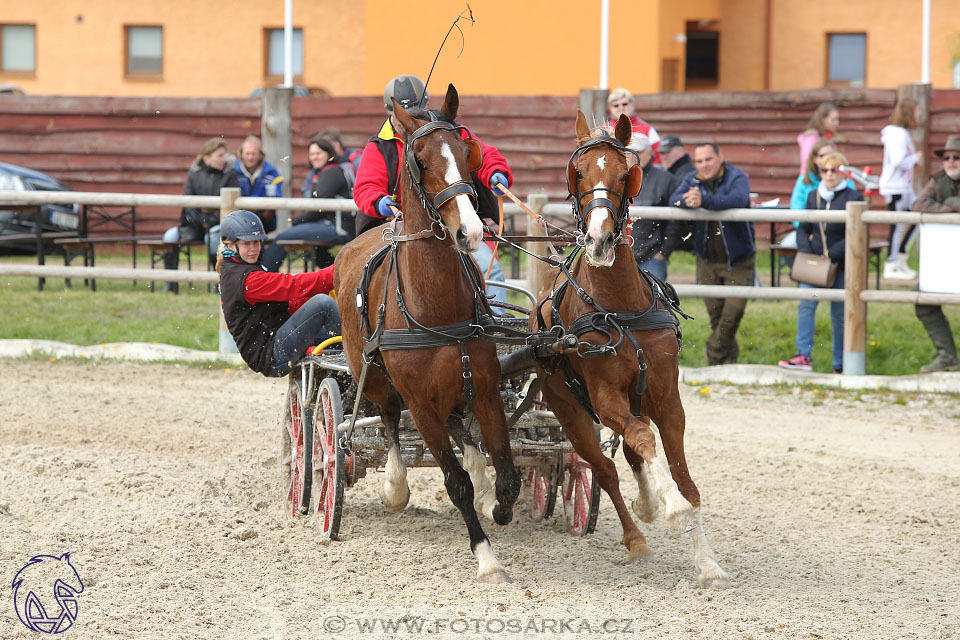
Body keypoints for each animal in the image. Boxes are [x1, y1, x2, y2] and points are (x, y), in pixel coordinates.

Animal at [336, 82, 520, 584]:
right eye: (419, 158)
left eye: (466, 149)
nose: (470, 231)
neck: (435, 307)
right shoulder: (420, 404)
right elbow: (453, 482)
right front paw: (486, 556)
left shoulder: (486, 390)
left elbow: (509, 476)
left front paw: (496, 506)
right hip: (374, 375)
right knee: (386, 419)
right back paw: (396, 483)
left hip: (455, 389)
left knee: (462, 433)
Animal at [532, 111, 728, 592]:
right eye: (579, 172)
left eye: (626, 174)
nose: (599, 241)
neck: (620, 308)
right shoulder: (605, 398)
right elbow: (640, 439)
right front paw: (671, 508)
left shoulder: (668, 398)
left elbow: (681, 474)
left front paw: (706, 563)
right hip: (570, 411)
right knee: (602, 468)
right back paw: (636, 538)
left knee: (630, 455)